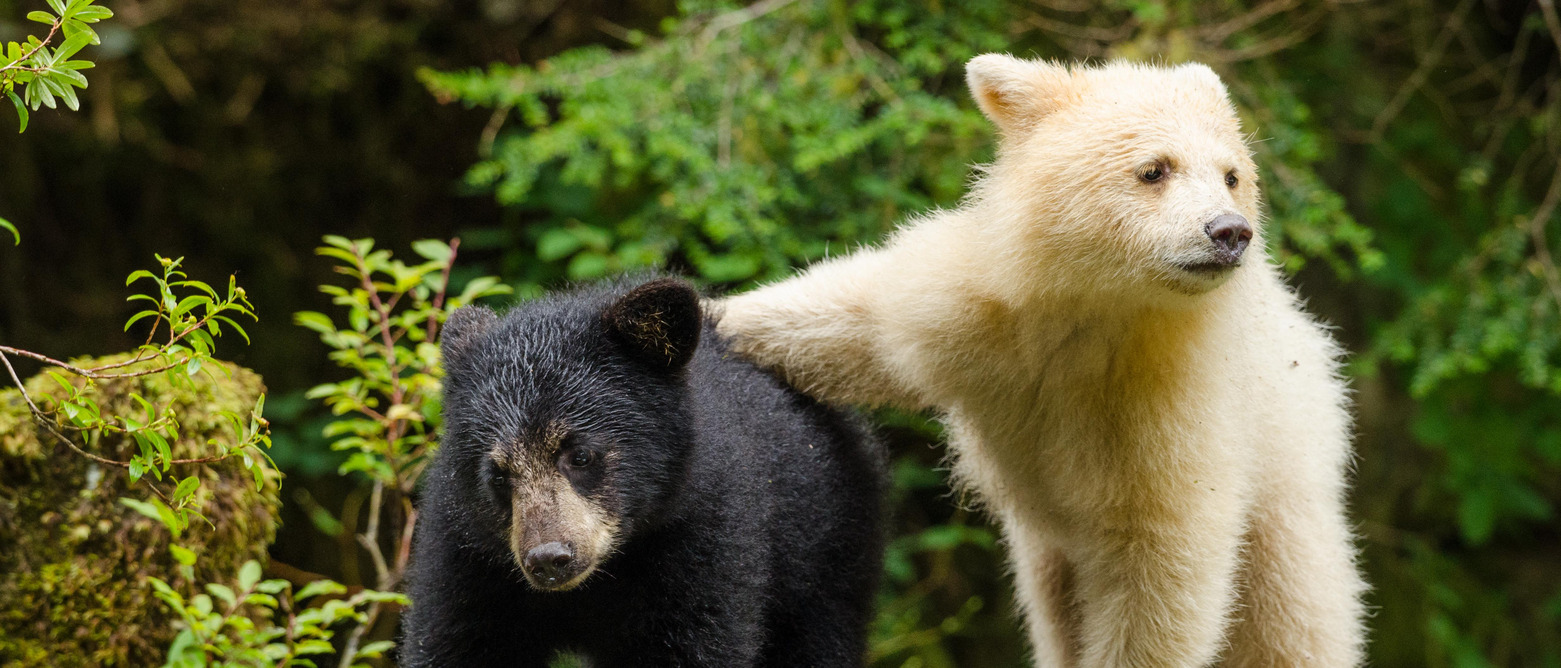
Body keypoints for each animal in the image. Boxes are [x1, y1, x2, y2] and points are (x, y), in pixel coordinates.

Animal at [399, 277, 885, 667]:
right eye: (498, 475)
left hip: (825, 556)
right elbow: (453, 642)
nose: (549, 559)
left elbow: (694, 641)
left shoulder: (703, 535)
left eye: (580, 456)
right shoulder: (468, 557)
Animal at [715, 56, 1367, 667]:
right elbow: (855, 320)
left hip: (1287, 491)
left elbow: (1162, 567)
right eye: (1155, 168)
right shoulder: (976, 308)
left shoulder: (1168, 402)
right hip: (1047, 551)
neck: (1092, 311)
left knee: (1291, 623)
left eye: (1231, 176)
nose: (1229, 231)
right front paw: (716, 316)